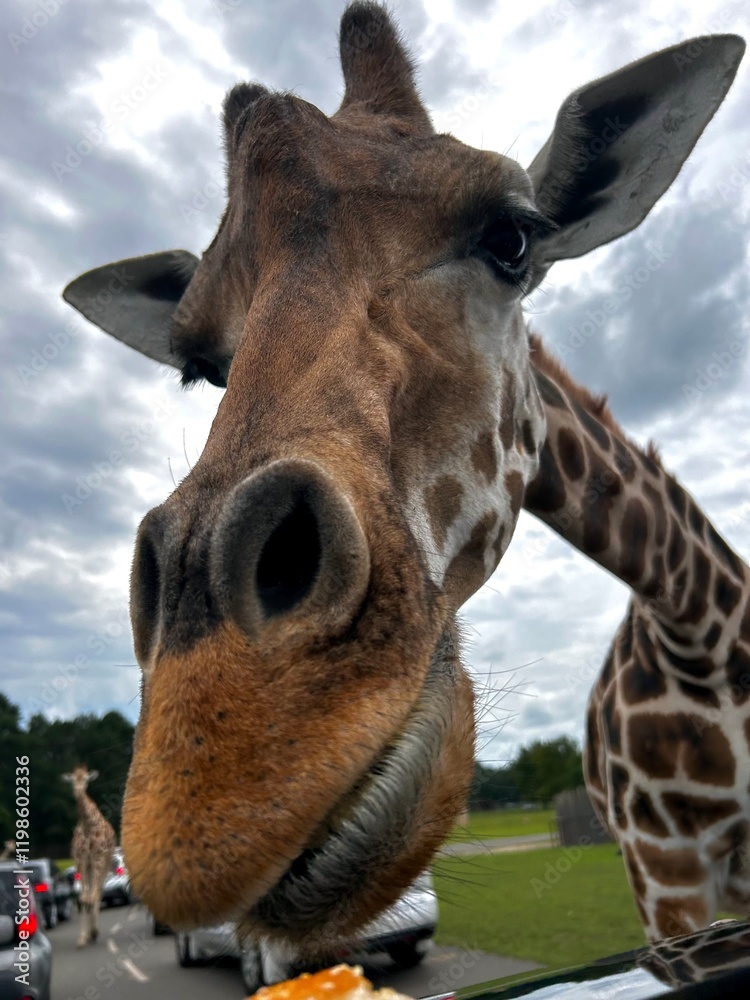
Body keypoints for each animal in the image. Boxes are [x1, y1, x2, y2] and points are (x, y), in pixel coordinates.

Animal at [62, 766, 117, 947]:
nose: (78, 791)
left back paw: (95, 932)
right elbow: (83, 899)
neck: (88, 825)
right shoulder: (81, 861)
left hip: (104, 863)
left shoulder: (98, 859)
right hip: (91, 867)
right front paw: (82, 938)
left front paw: (93, 933)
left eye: (86, 779)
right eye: (72, 780)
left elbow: (92, 897)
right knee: (90, 896)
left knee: (98, 893)